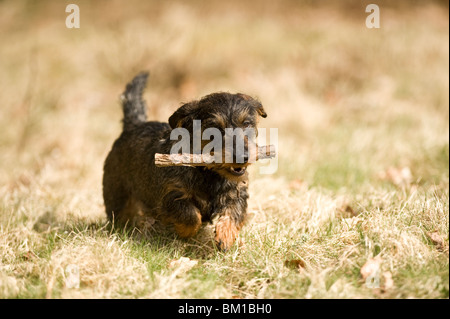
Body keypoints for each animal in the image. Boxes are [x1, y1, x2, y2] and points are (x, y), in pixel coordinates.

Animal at [102, 73, 268, 252]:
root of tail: (133, 126)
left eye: (246, 124)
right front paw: (185, 232)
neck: (209, 174)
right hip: (117, 193)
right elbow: (190, 215)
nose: (242, 156)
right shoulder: (170, 195)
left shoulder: (237, 192)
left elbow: (234, 212)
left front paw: (226, 236)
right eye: (215, 128)